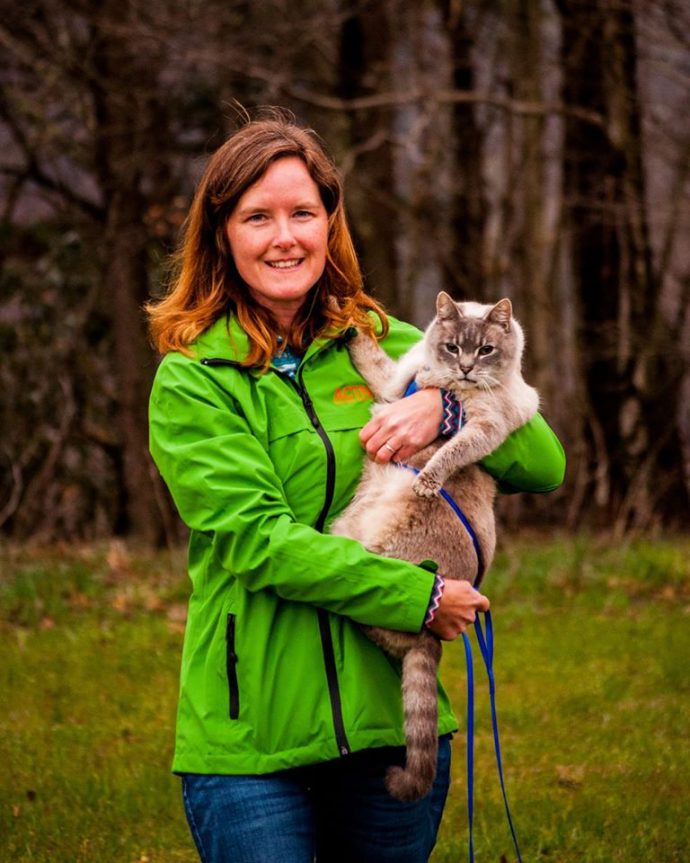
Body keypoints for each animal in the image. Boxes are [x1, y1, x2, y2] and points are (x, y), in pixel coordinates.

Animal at [330, 292, 540, 804]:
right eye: (451, 346)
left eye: (485, 350)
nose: (464, 368)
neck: (444, 382)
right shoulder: (393, 386)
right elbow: (374, 360)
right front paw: (348, 325)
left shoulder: (489, 423)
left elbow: (452, 451)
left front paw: (427, 480)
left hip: (373, 550)